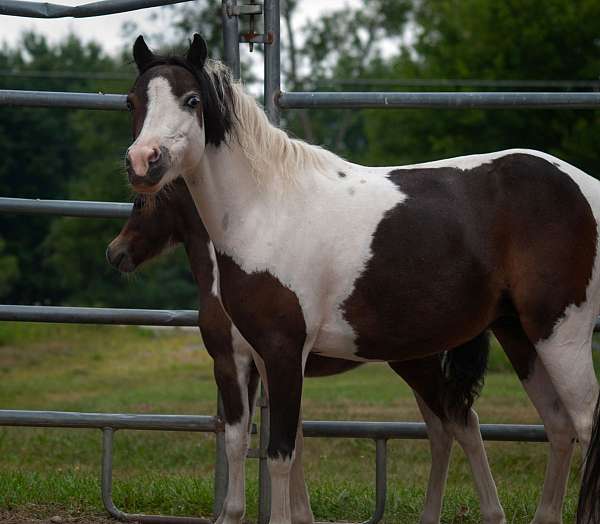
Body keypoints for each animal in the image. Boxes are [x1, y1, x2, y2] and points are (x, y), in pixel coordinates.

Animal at [122, 33, 600, 524]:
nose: (143, 161)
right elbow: (256, 442)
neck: (267, 209)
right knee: (553, 425)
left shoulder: (280, 351)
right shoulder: (258, 358)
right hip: (518, 335)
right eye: (132, 100)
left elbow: (280, 454)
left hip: (561, 334)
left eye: (192, 100)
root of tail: (584, 186)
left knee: (582, 424)